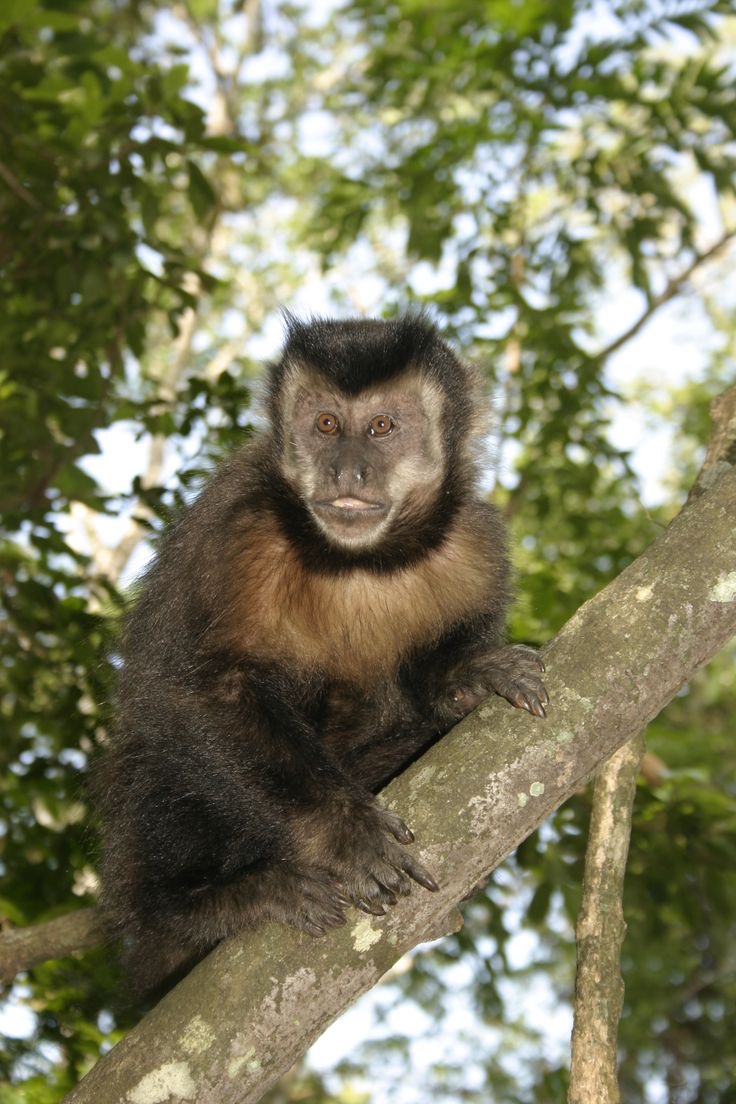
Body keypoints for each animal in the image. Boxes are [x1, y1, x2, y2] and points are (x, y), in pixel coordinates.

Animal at [94, 315, 547, 998]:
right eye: (328, 423)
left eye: (382, 426)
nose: (347, 470)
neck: (358, 562)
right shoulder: (235, 531)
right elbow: (190, 691)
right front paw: (343, 831)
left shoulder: (475, 543)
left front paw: (466, 678)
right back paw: (204, 905)